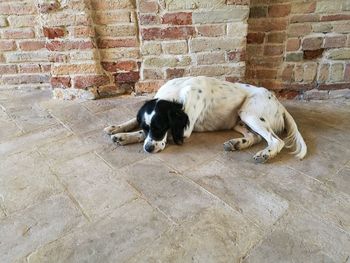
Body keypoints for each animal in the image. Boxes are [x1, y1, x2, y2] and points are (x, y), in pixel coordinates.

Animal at [104, 76, 306, 163]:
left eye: (160, 127)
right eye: (148, 128)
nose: (148, 149)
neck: (175, 95)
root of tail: (279, 103)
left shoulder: (184, 130)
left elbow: (142, 132)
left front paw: (127, 136)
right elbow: (134, 121)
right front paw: (117, 129)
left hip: (249, 112)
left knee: (276, 141)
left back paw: (266, 154)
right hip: (240, 120)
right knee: (255, 137)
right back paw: (236, 143)